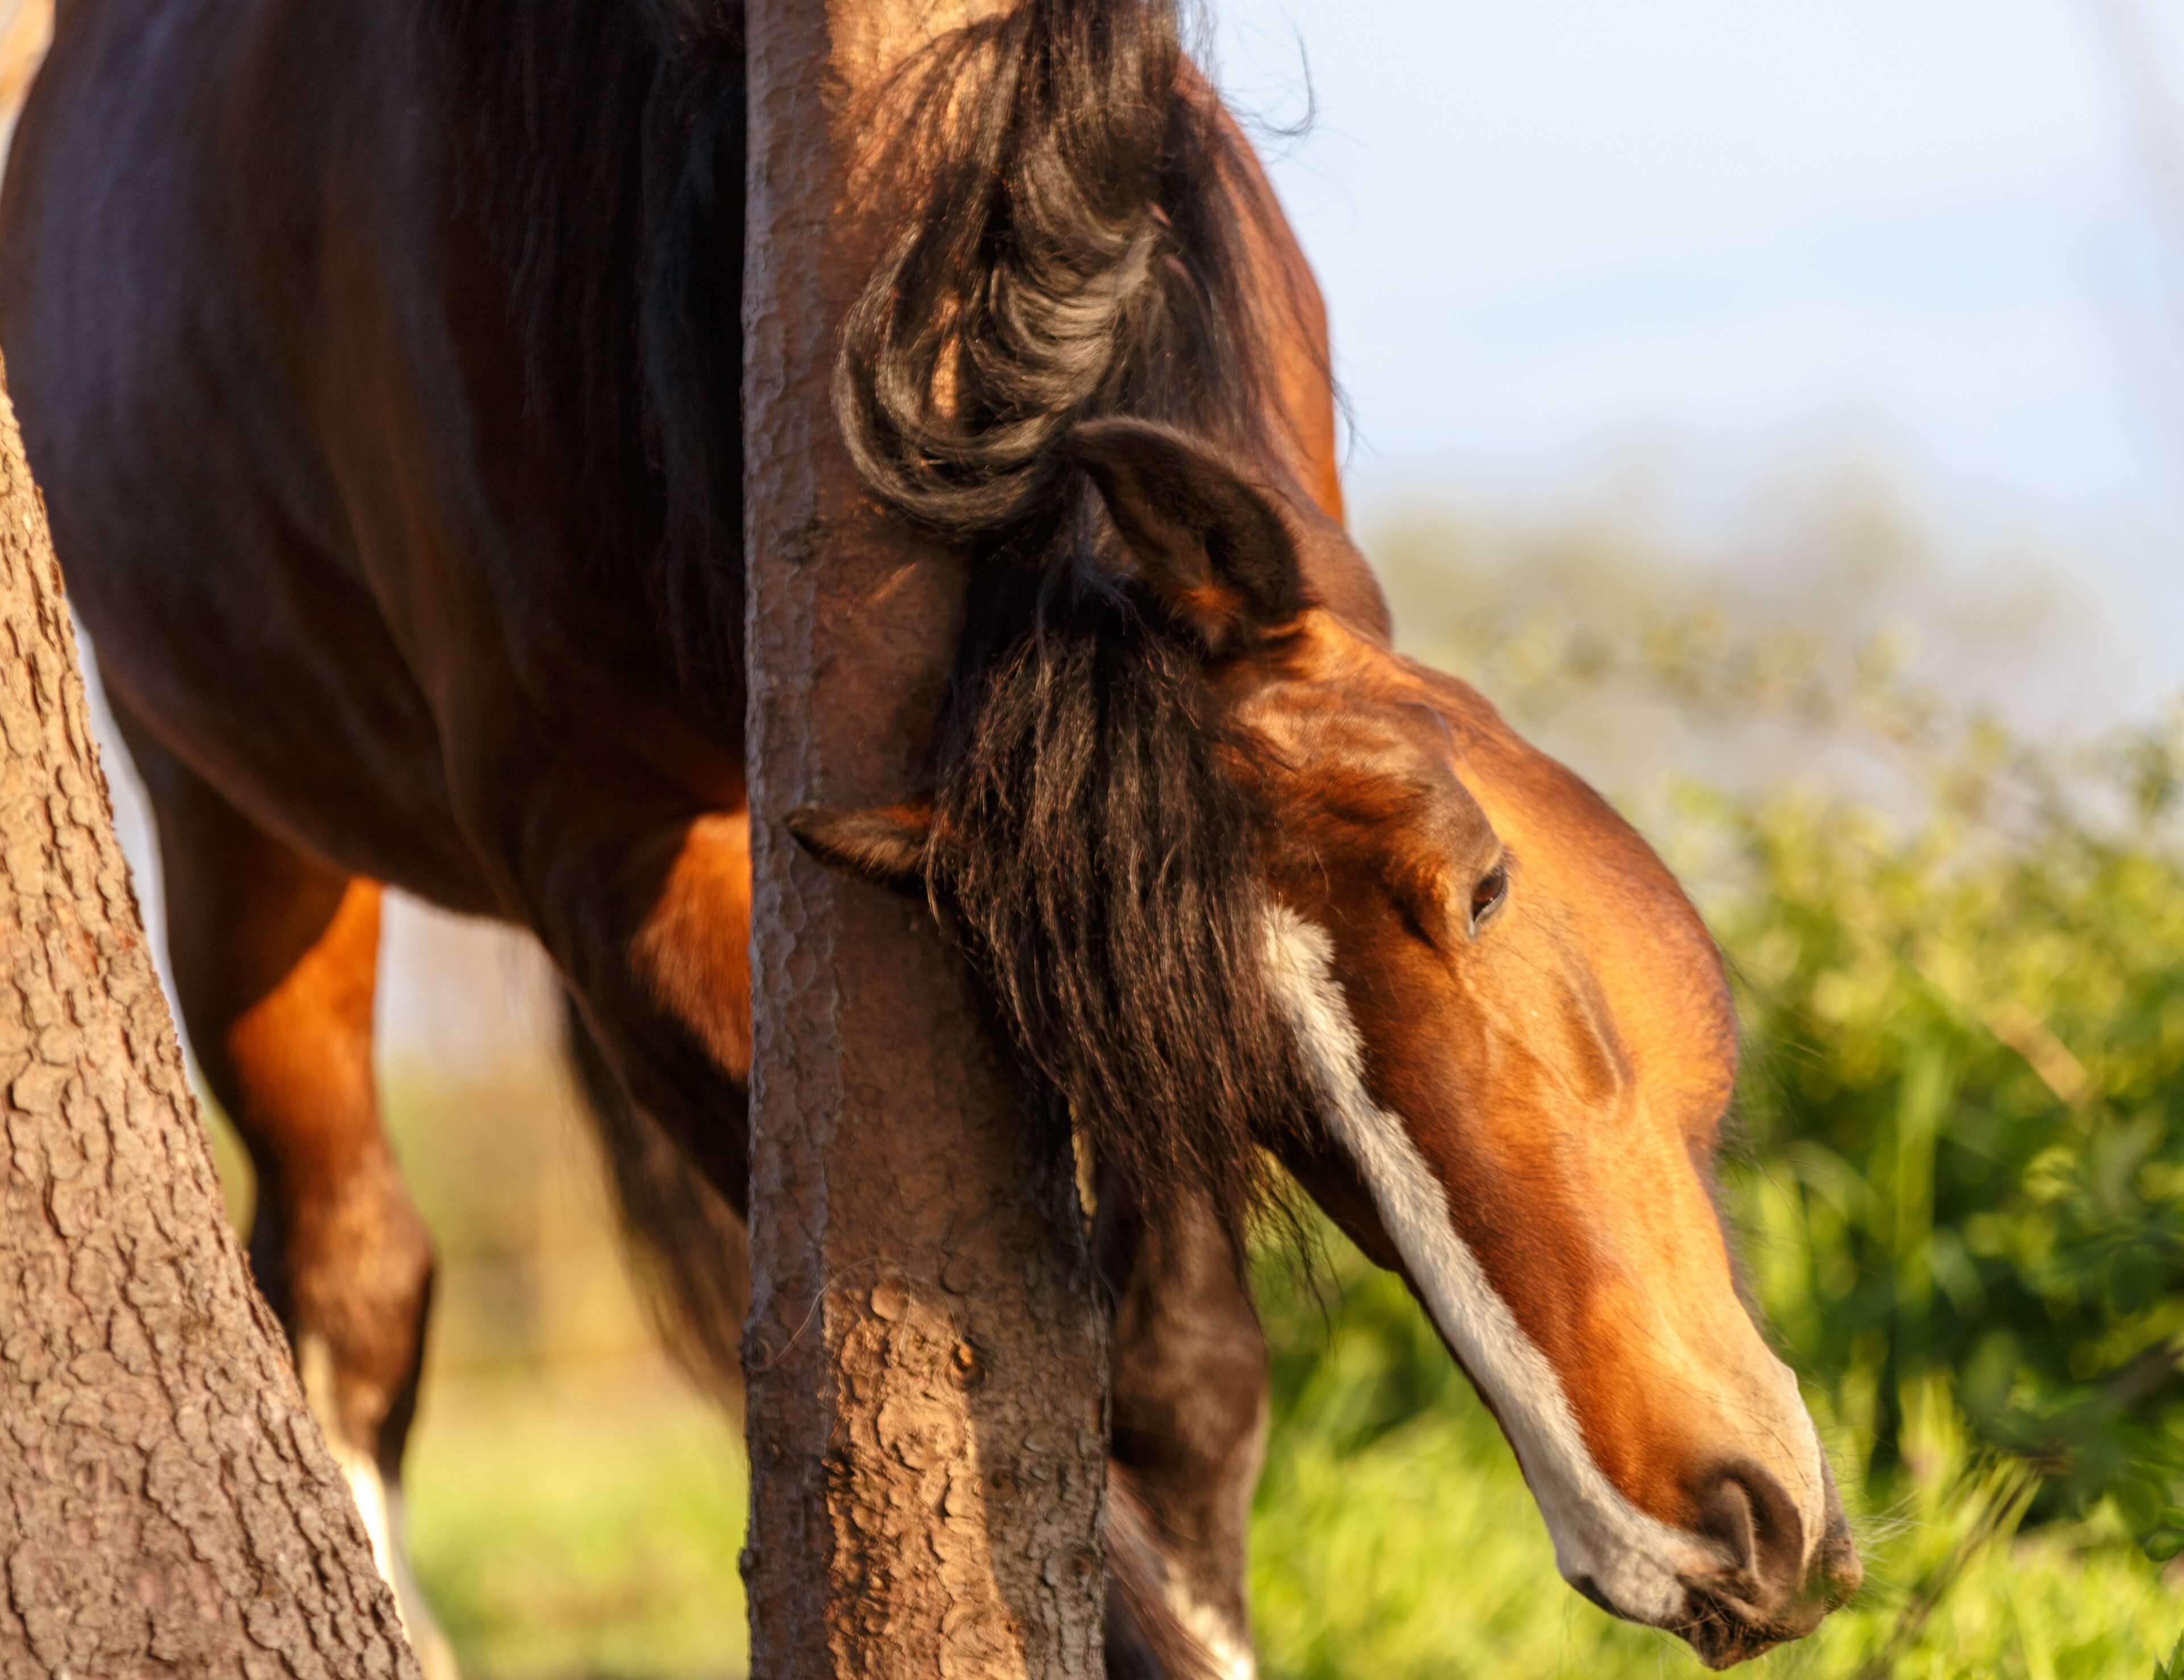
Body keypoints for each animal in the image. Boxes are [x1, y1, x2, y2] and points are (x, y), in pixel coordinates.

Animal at [0, 0, 1860, 1672]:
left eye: (1476, 884)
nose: (1695, 1537)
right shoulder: (606, 866)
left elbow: (1179, 1392)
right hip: (232, 825)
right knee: (354, 1280)